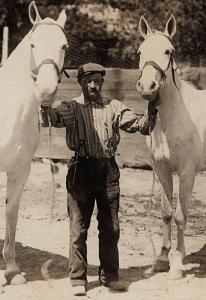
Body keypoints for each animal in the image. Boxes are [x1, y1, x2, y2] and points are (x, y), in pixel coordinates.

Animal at [137, 15, 206, 278]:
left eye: (169, 51)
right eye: (140, 51)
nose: (148, 87)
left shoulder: (187, 173)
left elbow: (180, 216)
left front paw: (177, 262)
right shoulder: (161, 170)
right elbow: (166, 212)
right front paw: (162, 259)